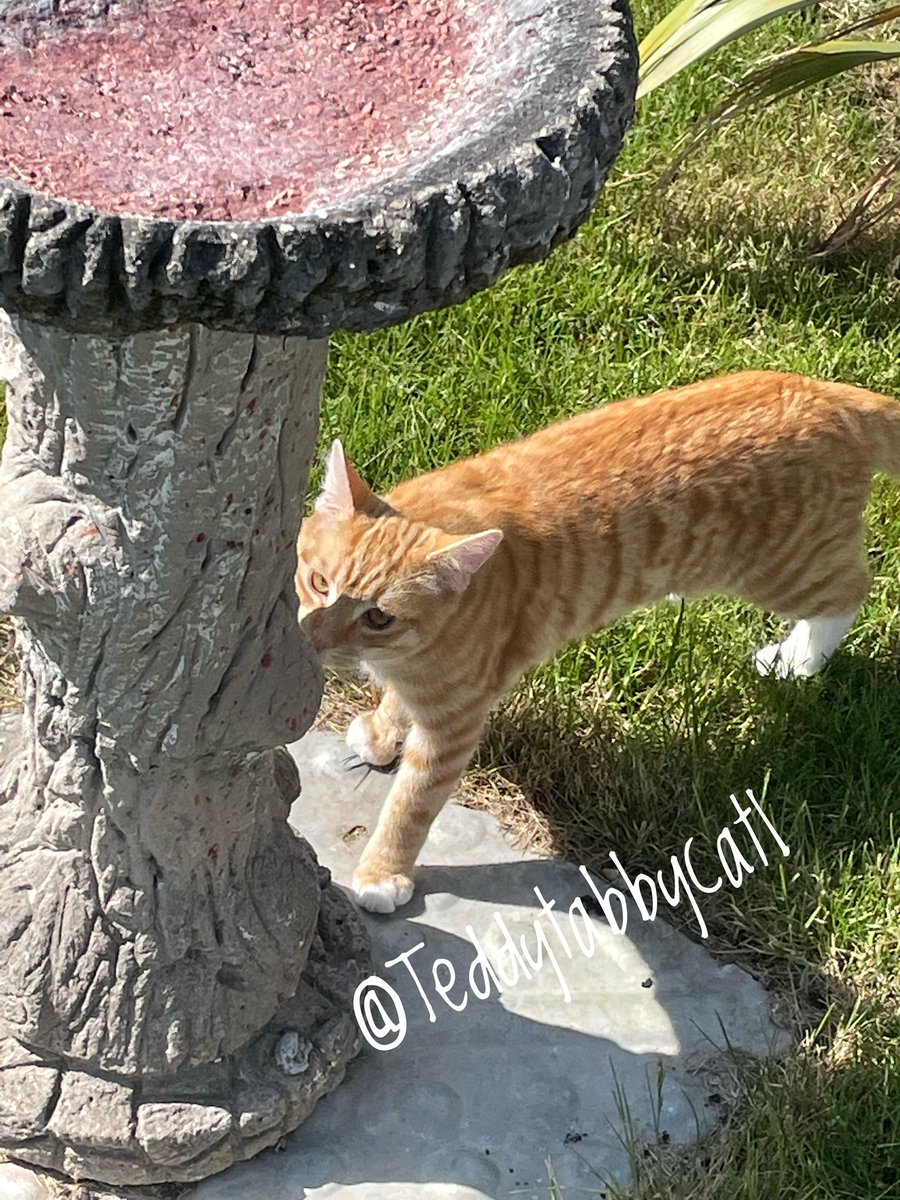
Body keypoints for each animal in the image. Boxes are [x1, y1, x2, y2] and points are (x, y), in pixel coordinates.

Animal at [297, 369, 900, 912]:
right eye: (320, 582)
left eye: (378, 617)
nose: (314, 637)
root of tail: (825, 393)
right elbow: (398, 704)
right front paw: (382, 731)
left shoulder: (454, 724)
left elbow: (411, 806)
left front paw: (383, 873)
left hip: (789, 572)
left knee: (853, 589)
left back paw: (798, 660)